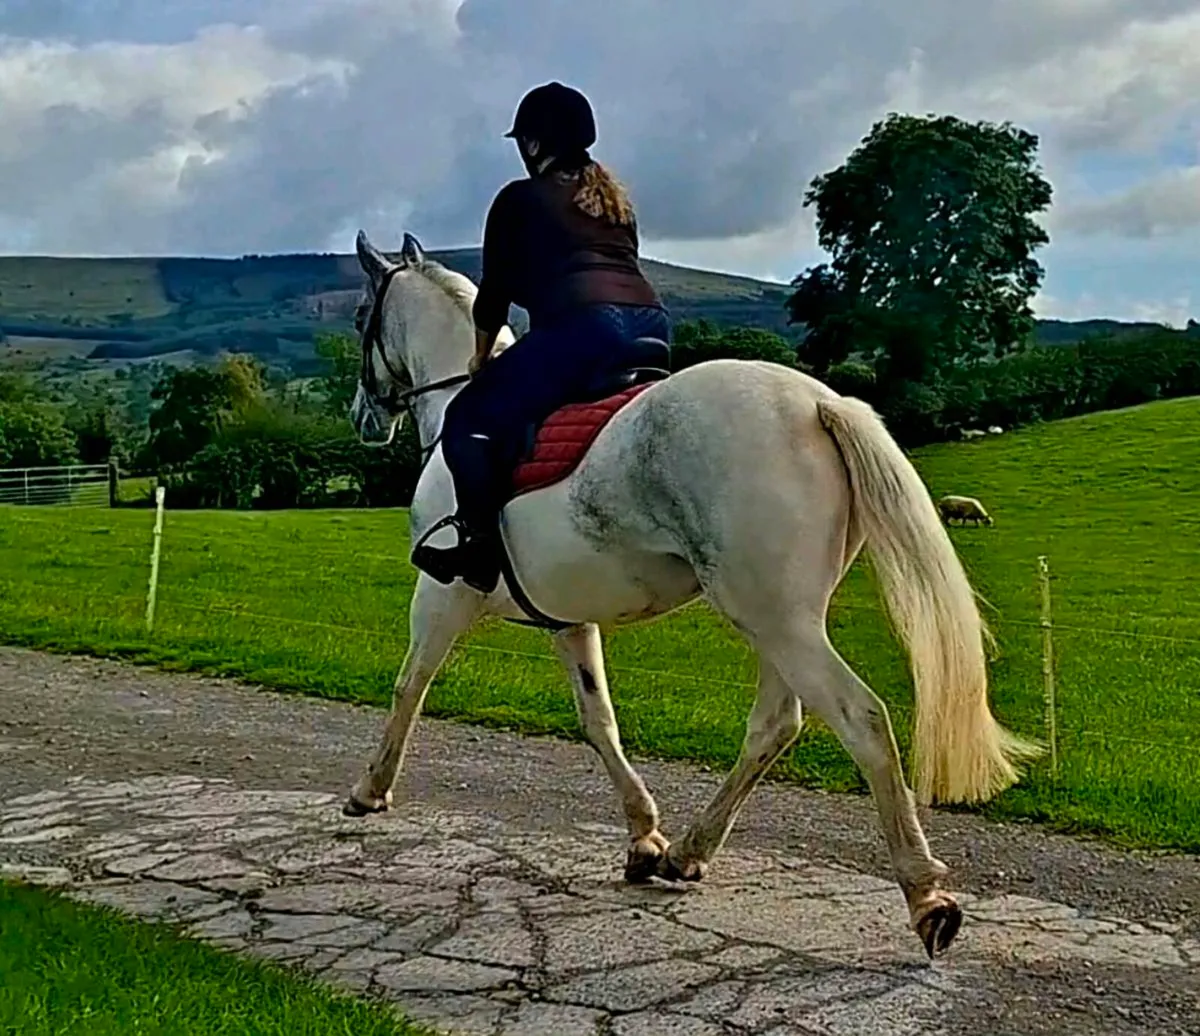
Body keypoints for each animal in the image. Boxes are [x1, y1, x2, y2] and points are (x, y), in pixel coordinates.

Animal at [343, 228, 1041, 959]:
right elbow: (600, 721)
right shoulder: (568, 618)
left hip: (775, 619)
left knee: (863, 720)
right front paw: (644, 837)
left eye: (362, 317)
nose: (362, 417)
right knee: (776, 724)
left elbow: (409, 687)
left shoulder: (441, 593)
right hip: (782, 620)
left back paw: (925, 895)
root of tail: (817, 403)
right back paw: (687, 852)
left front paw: (370, 790)